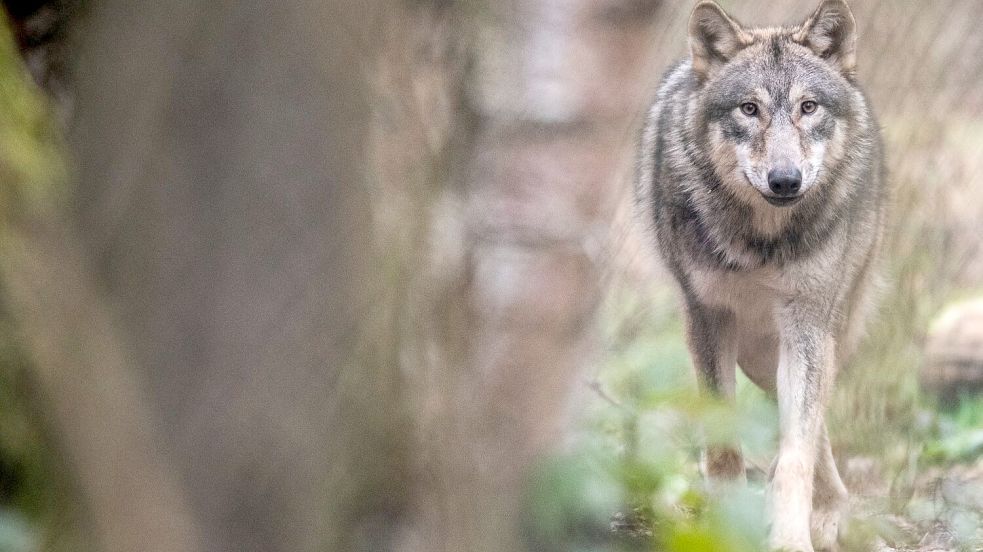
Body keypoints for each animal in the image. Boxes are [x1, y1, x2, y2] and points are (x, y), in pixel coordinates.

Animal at [636, 1, 886, 550]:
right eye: (749, 109)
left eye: (808, 107)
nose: (785, 180)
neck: (761, 243)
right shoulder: (707, 320)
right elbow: (722, 444)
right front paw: (727, 525)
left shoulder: (806, 328)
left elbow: (797, 453)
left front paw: (791, 536)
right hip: (755, 354)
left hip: (813, 338)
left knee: (811, 429)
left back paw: (828, 512)